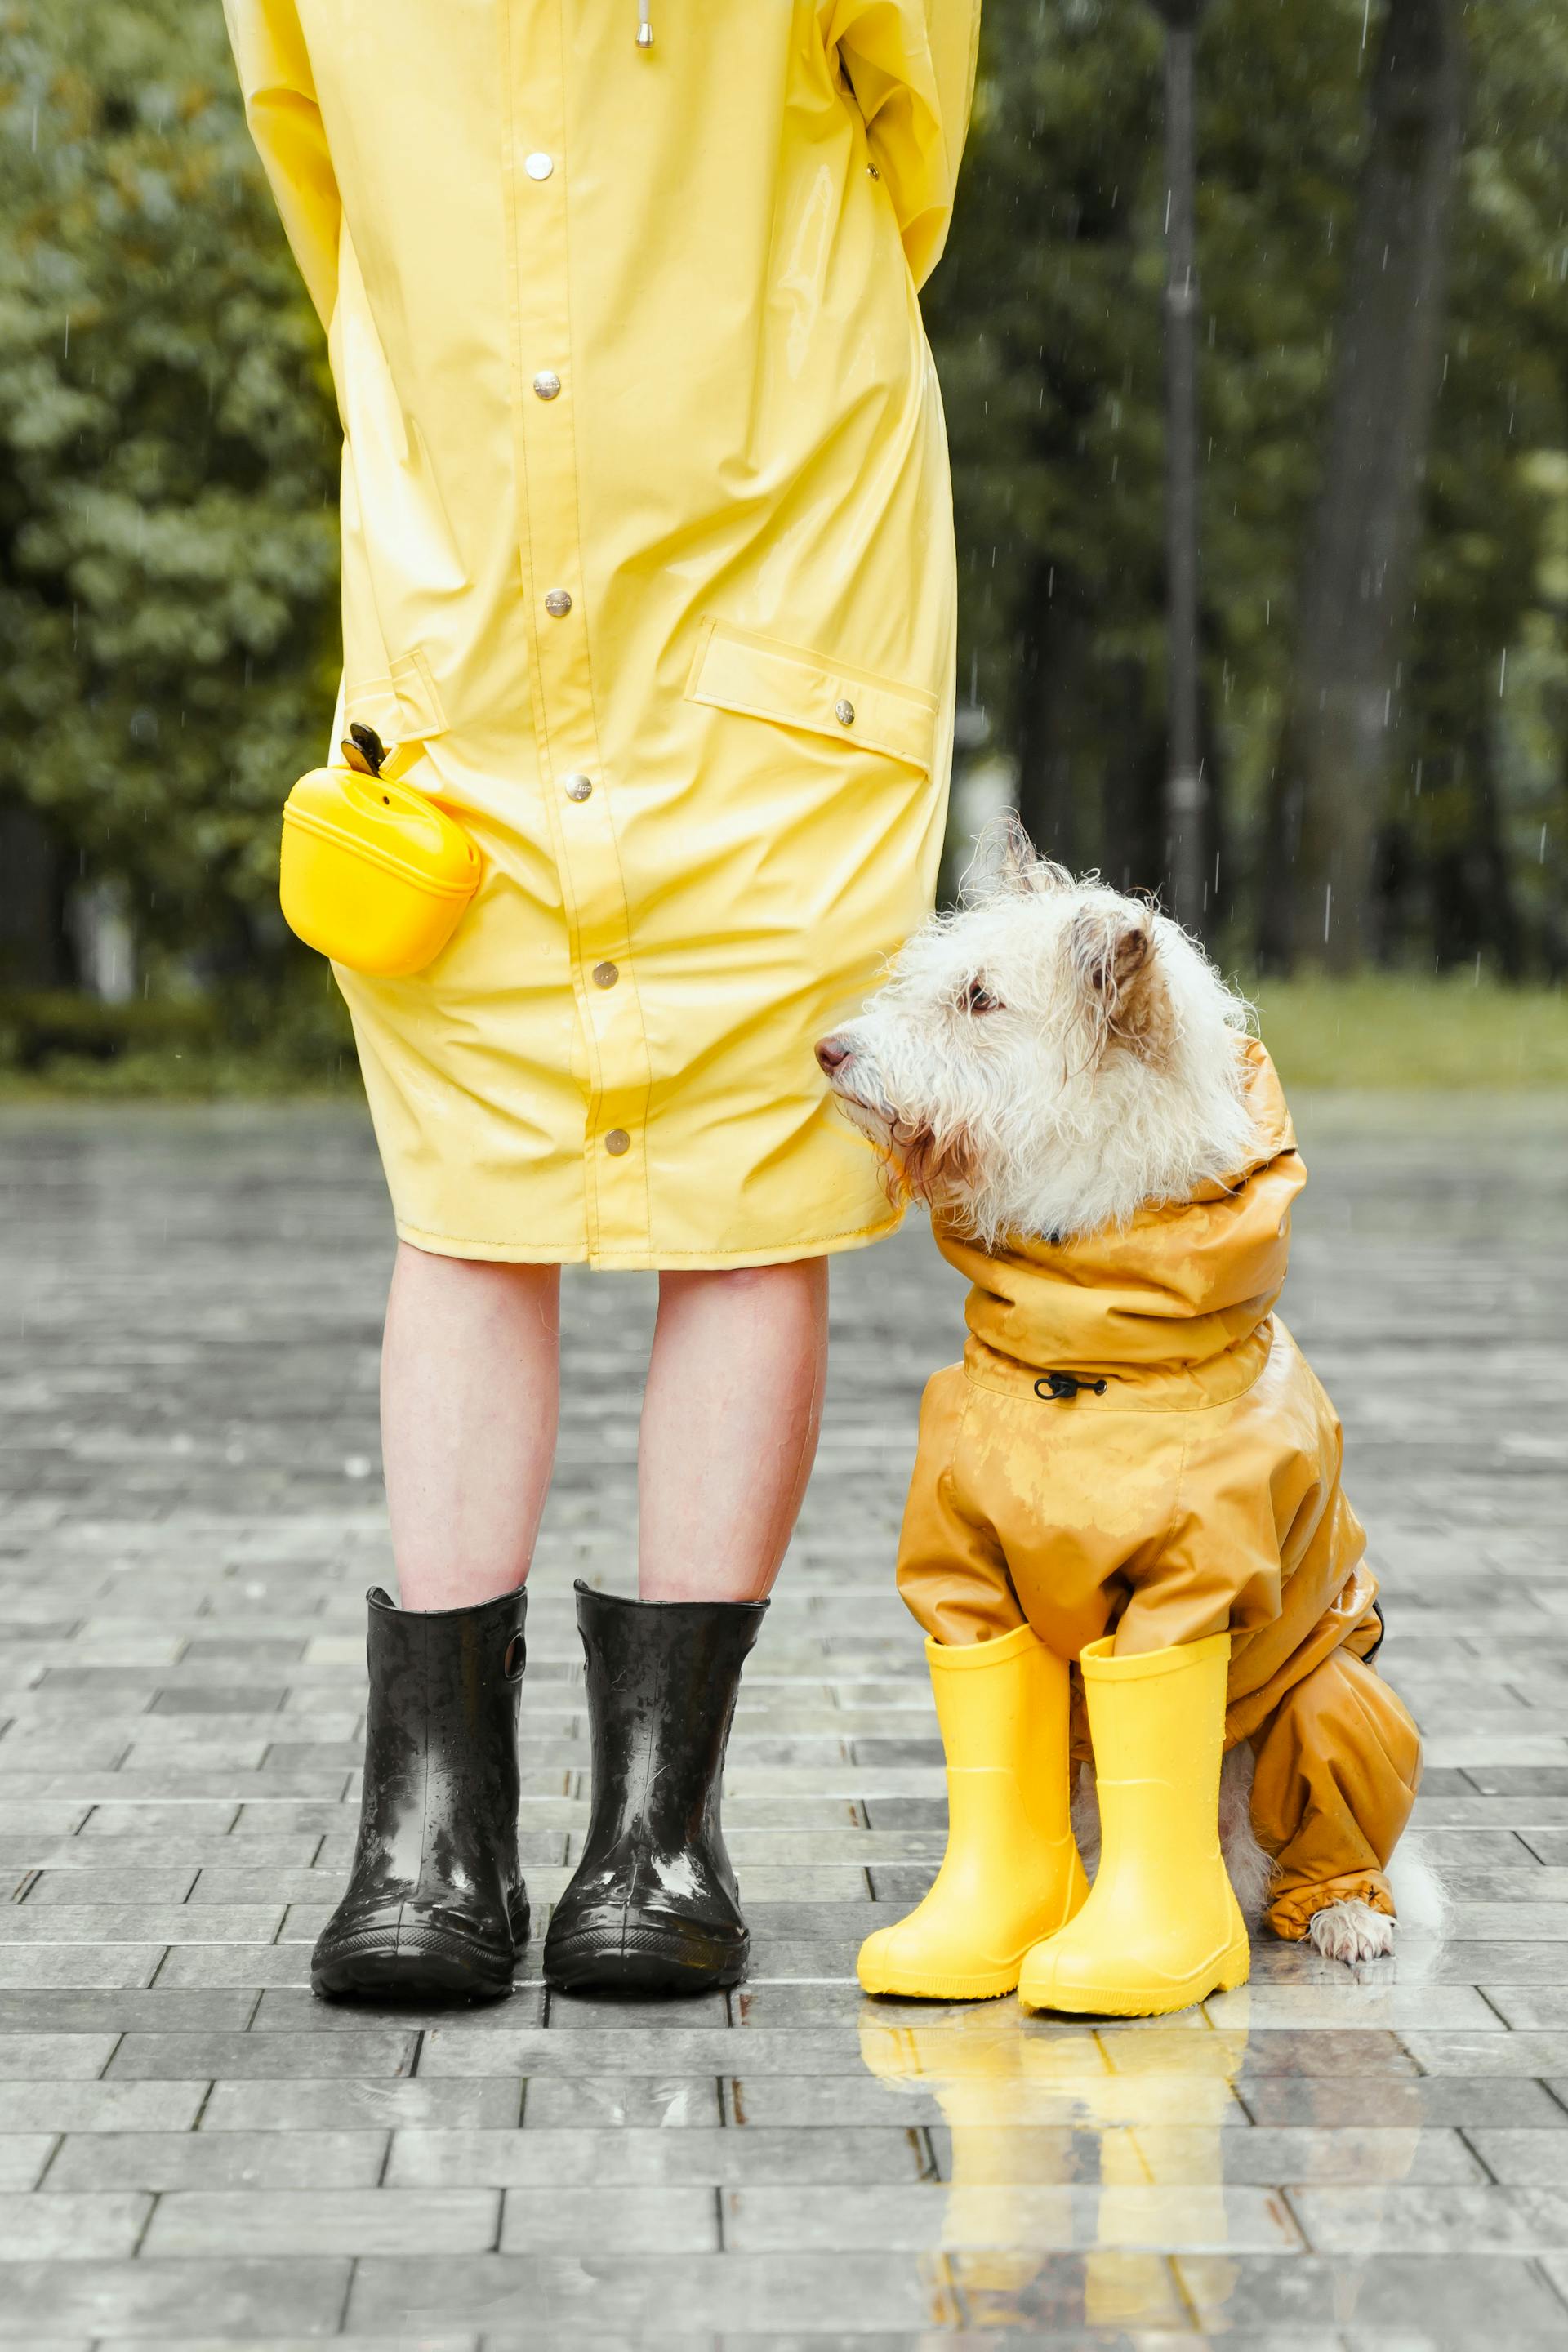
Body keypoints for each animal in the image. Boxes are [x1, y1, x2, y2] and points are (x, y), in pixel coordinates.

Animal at [827, 827, 1438, 1966]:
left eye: (980, 999)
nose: (828, 1052)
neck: (1085, 1347)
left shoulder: (1195, 1584)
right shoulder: (963, 1574)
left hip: (1332, 1691)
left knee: (1313, 1829)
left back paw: (1333, 1909)